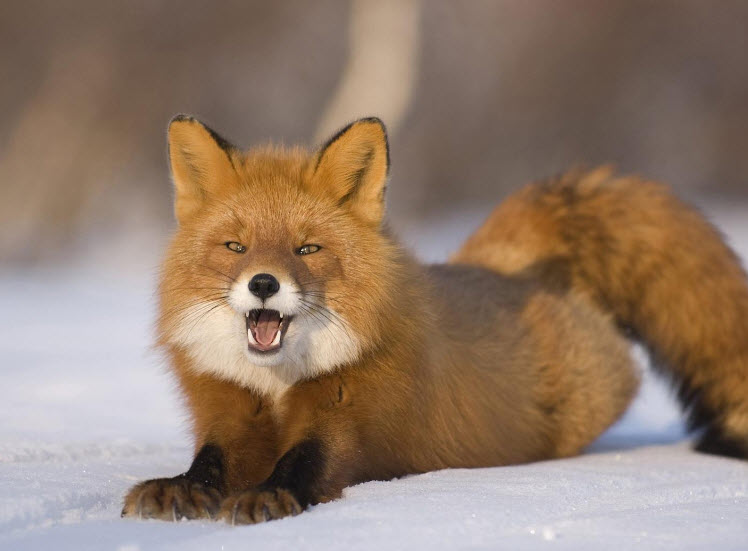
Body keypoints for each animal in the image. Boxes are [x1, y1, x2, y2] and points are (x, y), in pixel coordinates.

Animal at [122, 115, 748, 524]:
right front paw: (180, 489)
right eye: (235, 246)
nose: (263, 283)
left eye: (307, 249)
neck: (277, 385)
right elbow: (210, 461)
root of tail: (499, 266)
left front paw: (269, 495)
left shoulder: (352, 416)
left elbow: (305, 462)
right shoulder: (228, 409)